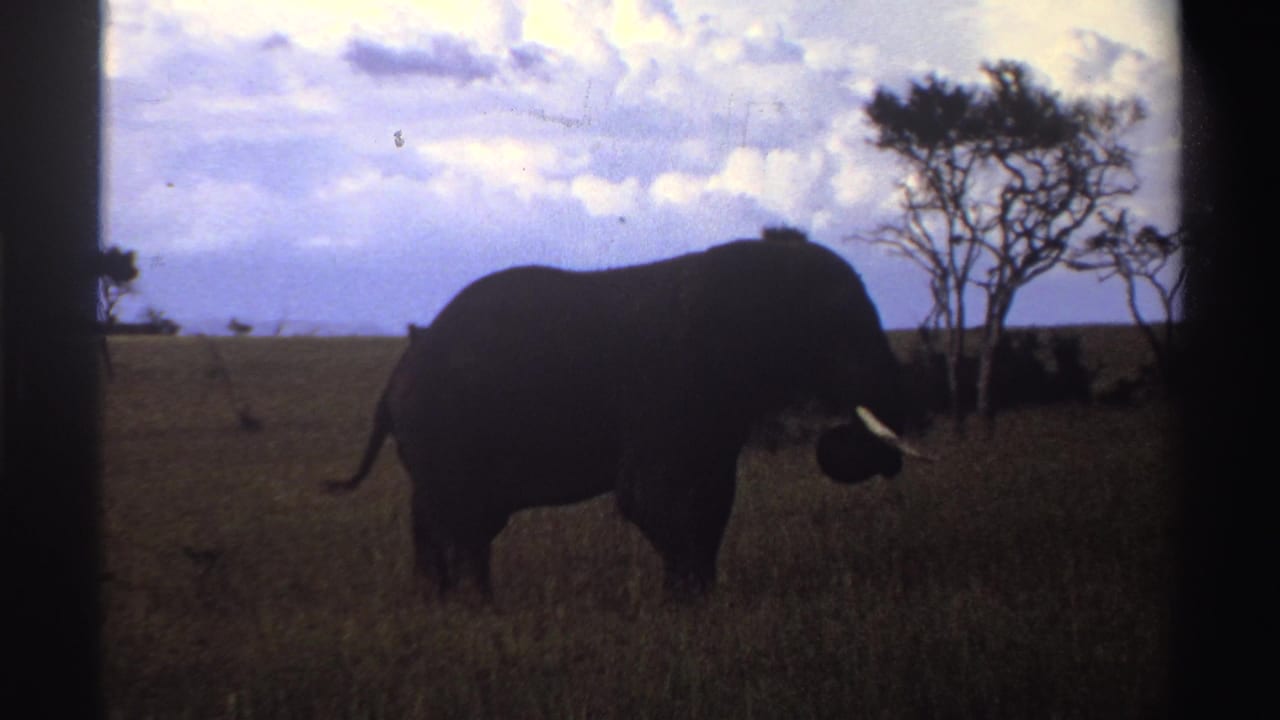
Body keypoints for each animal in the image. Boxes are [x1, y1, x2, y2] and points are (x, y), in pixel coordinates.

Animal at [327, 232, 926, 600]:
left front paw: (700, 602)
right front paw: (690, 603)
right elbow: (656, 499)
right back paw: (479, 609)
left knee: (438, 521)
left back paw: (442, 604)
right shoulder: (672, 388)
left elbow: (712, 501)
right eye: (834, 327)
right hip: (447, 434)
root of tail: (396, 377)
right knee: (465, 523)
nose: (880, 458)